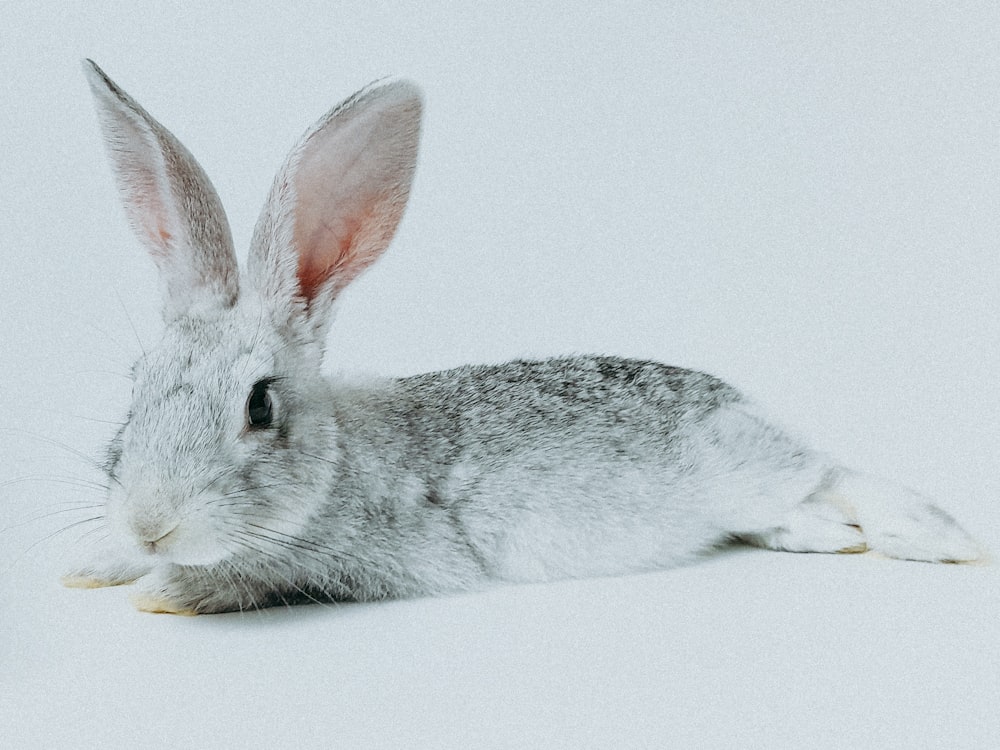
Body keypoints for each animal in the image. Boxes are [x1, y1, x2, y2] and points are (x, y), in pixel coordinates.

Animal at [62, 61, 984, 616]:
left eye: (259, 406)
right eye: (135, 385)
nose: (151, 523)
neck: (337, 464)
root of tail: (747, 409)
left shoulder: (344, 560)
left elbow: (231, 579)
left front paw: (156, 587)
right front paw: (95, 564)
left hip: (755, 470)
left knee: (836, 477)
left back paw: (937, 542)